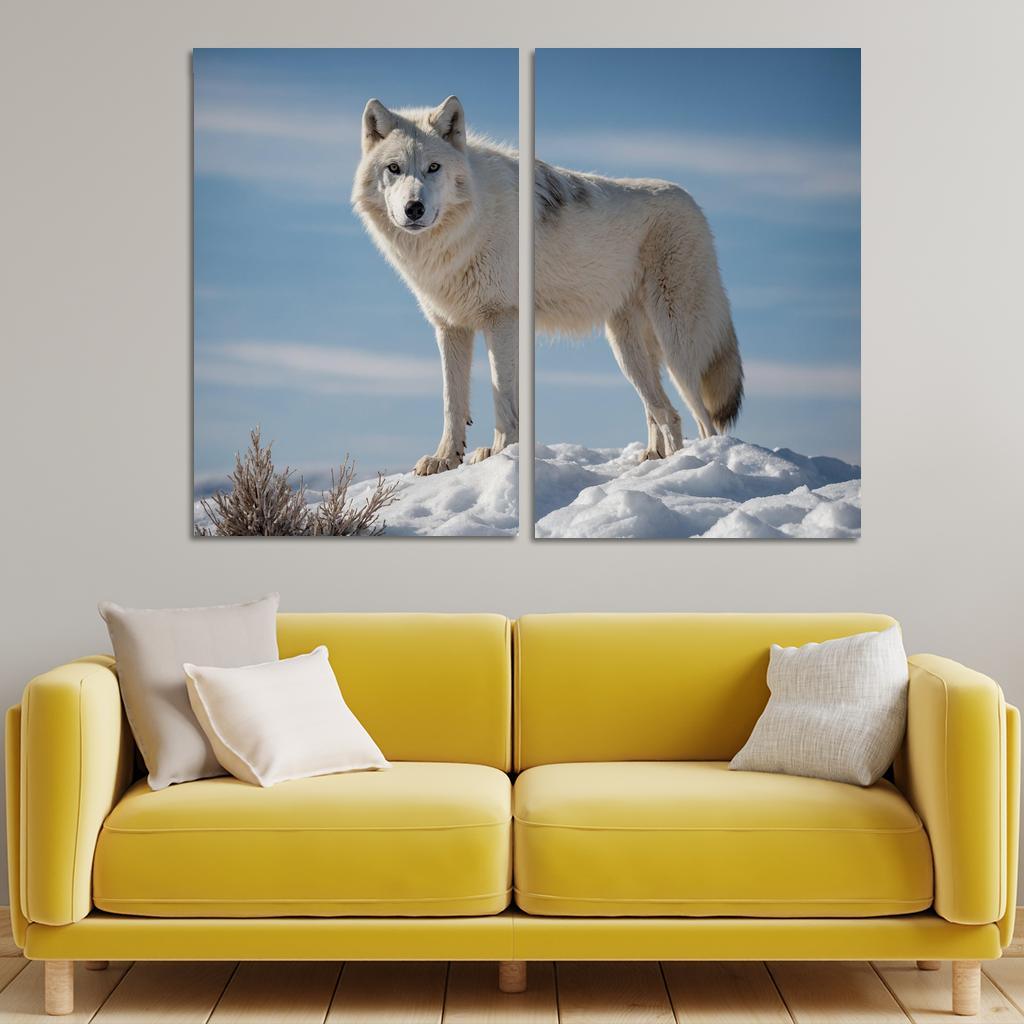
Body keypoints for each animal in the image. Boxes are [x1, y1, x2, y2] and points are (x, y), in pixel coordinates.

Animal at [352, 96, 518, 476]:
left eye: (433, 167)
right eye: (394, 168)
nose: (414, 208)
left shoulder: (502, 317)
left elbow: (503, 392)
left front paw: (504, 452)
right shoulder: (450, 325)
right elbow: (451, 400)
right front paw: (445, 458)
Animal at [535, 162, 743, 458]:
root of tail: (691, 200)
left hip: (675, 347)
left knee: (698, 420)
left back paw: (696, 458)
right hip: (628, 349)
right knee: (658, 409)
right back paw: (654, 457)